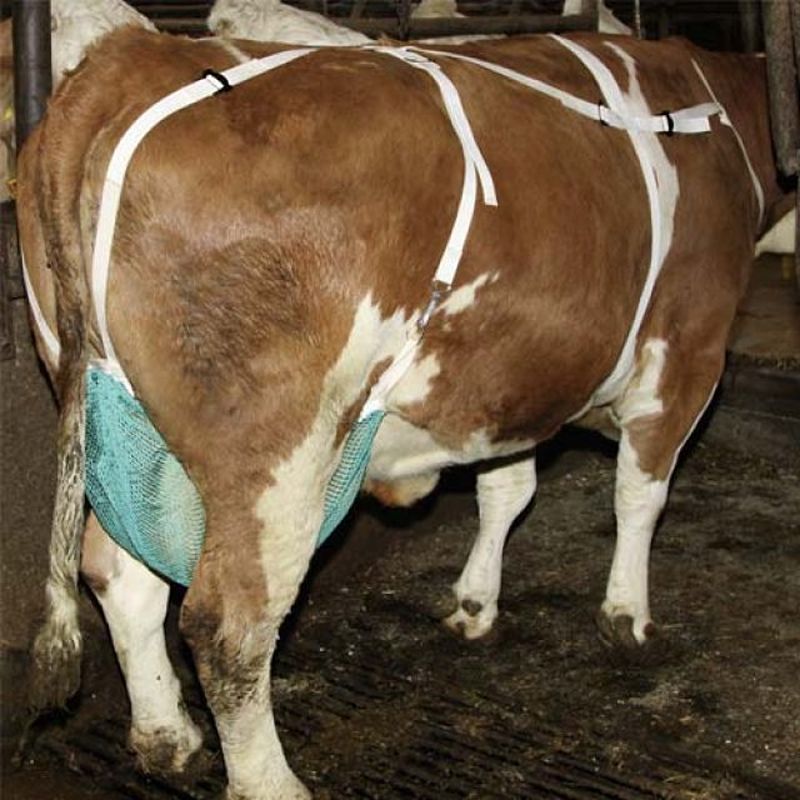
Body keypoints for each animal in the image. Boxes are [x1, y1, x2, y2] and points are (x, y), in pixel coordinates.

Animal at [17, 26, 788, 800]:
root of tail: (129, 58)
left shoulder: (507, 381)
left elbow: (506, 489)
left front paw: (475, 602)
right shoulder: (688, 352)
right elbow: (641, 494)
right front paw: (628, 617)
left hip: (117, 424)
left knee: (118, 573)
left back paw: (167, 737)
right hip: (275, 451)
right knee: (230, 621)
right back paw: (271, 781)